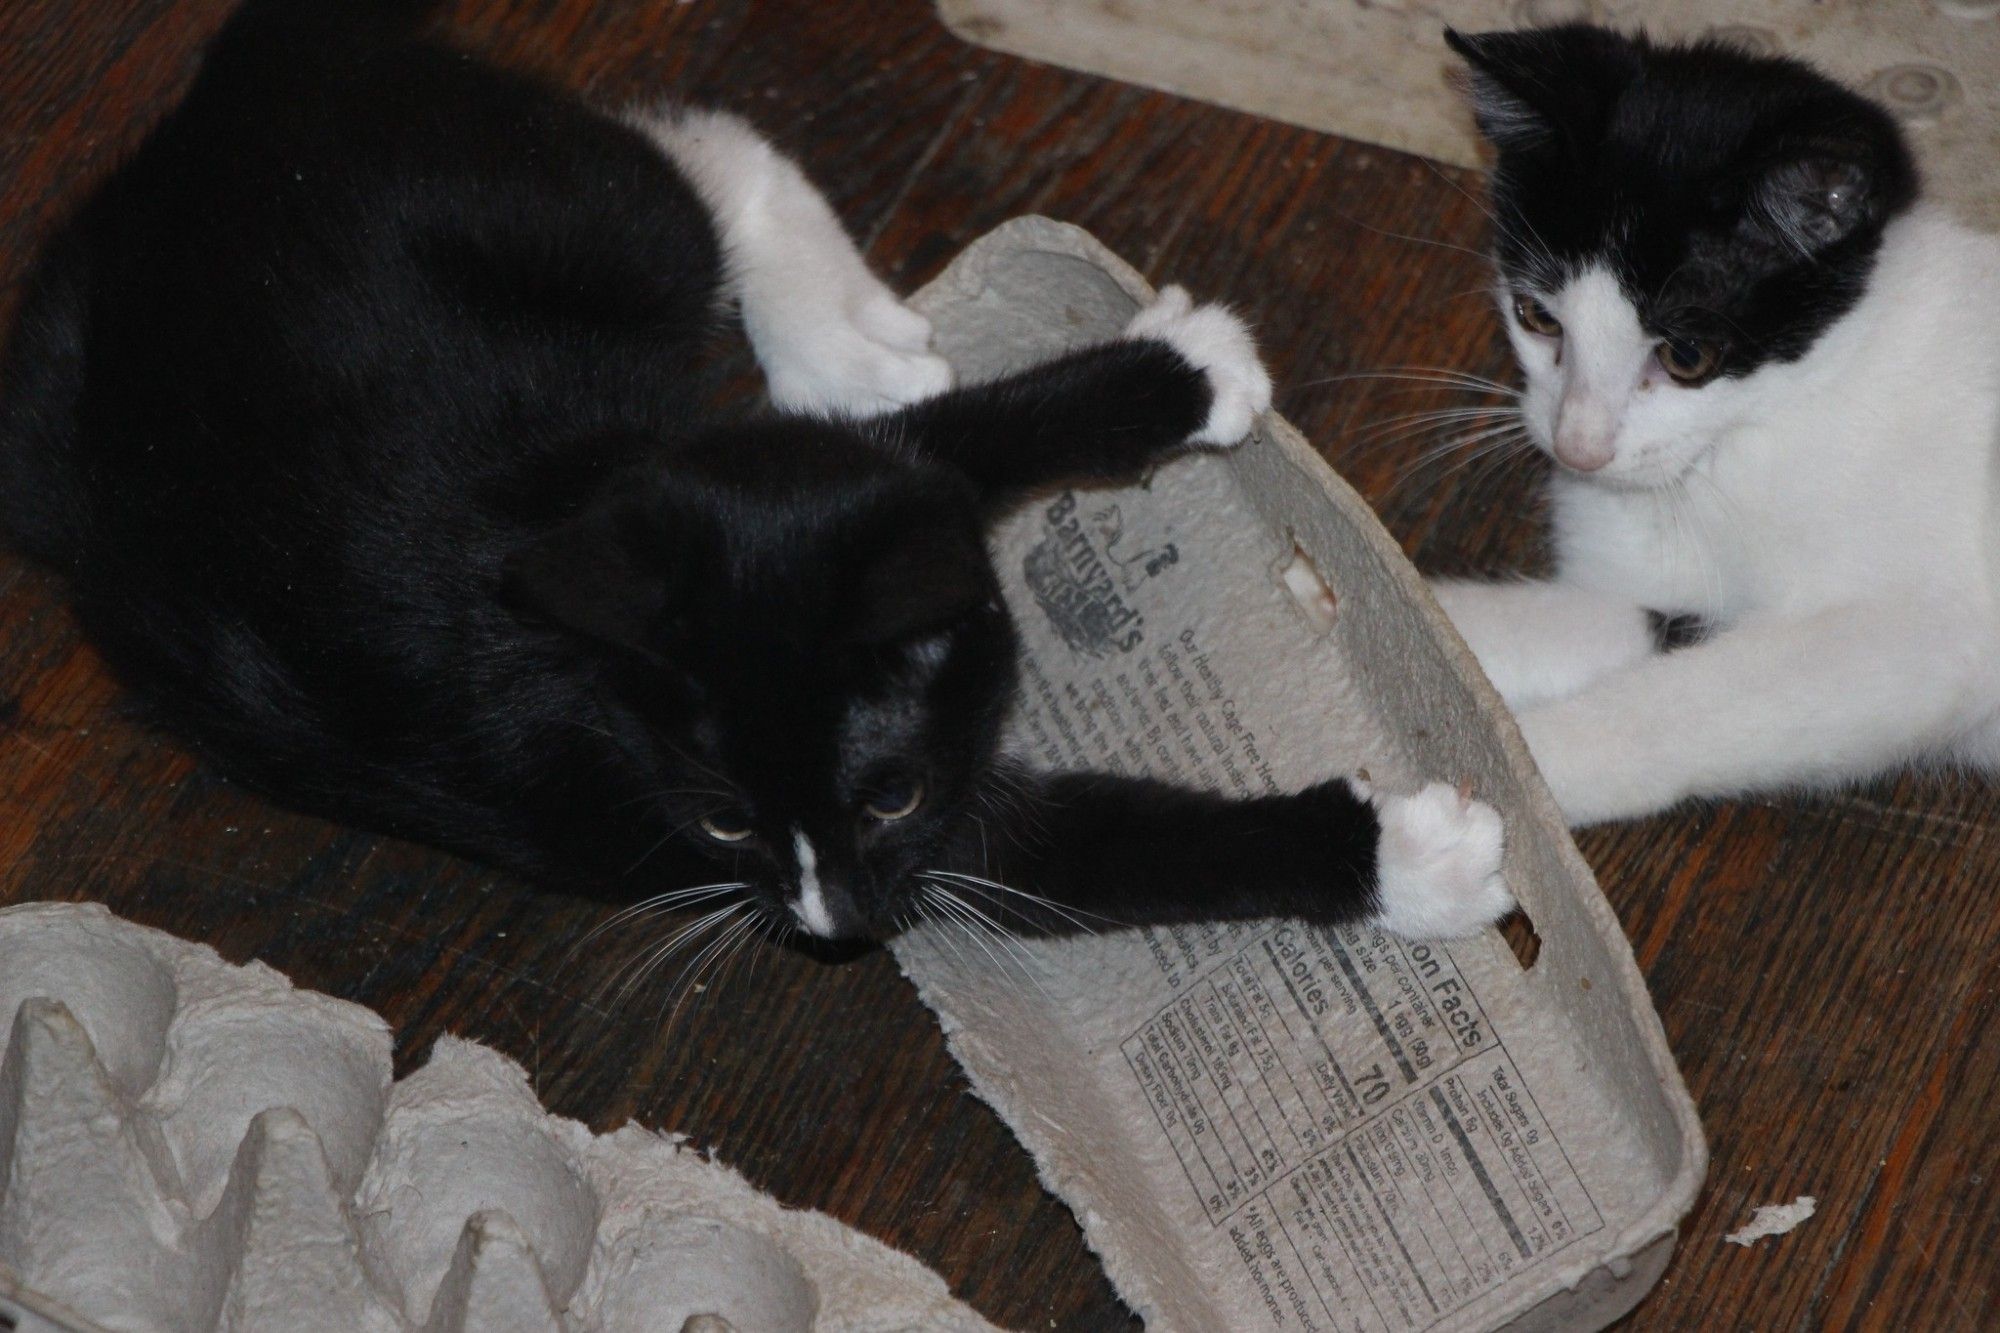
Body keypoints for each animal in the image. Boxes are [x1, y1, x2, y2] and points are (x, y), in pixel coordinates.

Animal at [0, 0, 1504, 956]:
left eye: (879, 795)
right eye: (722, 820)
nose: (834, 927)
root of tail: (226, 92)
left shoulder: (772, 501)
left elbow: (965, 441)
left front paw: (1180, 369)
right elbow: (1110, 852)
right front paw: (1410, 862)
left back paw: (841, 346)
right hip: (582, 226)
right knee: (699, 147)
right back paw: (838, 342)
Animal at [1424, 26, 2000, 820]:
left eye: (1687, 356)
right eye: (1537, 316)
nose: (1578, 447)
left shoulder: (1932, 633)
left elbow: (1686, 707)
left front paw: (1504, 774)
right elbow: (1621, 623)